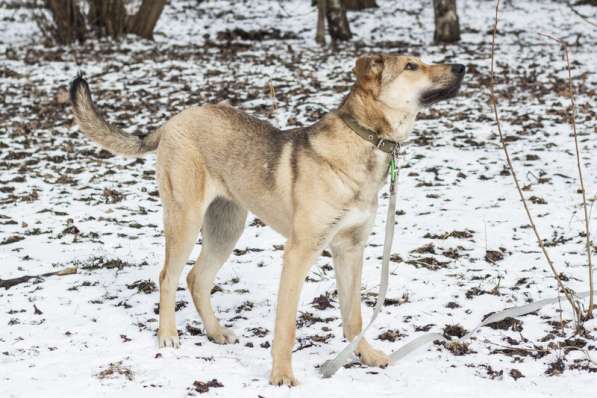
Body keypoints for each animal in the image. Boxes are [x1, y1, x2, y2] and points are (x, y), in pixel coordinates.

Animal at [68, 53, 460, 386]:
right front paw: (281, 375)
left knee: (197, 279)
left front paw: (364, 355)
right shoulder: (300, 253)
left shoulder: (350, 249)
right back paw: (168, 335)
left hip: (227, 228)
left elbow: (354, 315)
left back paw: (216, 332)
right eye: (412, 66)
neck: (366, 139)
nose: (461, 67)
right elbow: (286, 326)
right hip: (185, 219)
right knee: (168, 277)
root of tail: (171, 122)